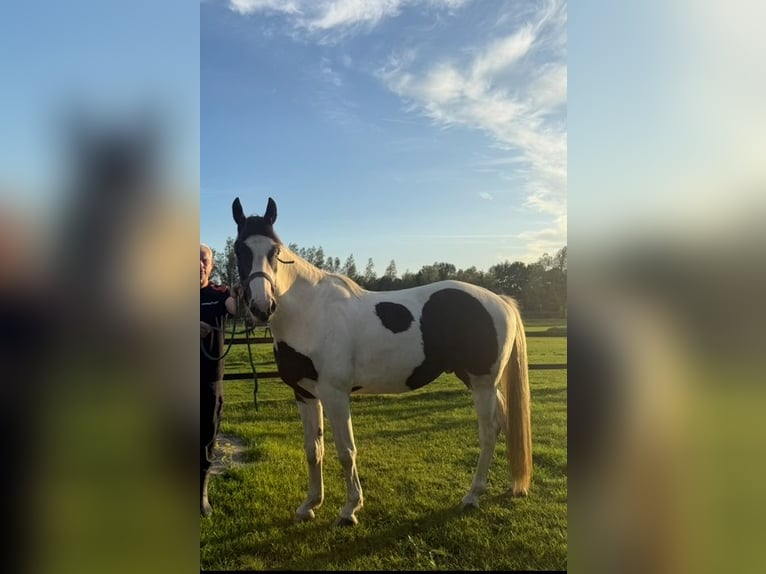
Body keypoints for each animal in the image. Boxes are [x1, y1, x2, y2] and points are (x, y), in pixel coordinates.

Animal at [232, 196, 532, 526]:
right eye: (239, 250)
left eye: (275, 251)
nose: (262, 306)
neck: (310, 313)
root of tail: (500, 300)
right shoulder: (305, 394)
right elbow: (314, 450)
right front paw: (310, 504)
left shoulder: (335, 394)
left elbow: (346, 451)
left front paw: (350, 509)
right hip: (482, 382)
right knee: (503, 423)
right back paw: (509, 484)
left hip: (482, 384)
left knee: (488, 432)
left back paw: (472, 496)